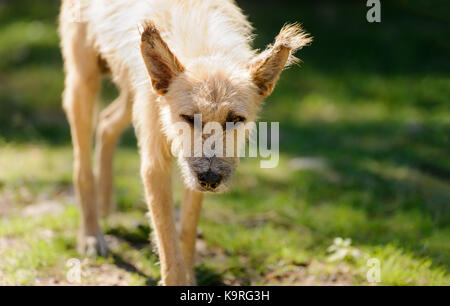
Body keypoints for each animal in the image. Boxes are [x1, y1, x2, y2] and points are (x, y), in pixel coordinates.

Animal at [58, 0, 312, 286]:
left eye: (235, 120)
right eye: (189, 118)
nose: (211, 181)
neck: (204, 47)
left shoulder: (194, 173)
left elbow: (188, 227)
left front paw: (189, 275)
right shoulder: (155, 166)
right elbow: (166, 236)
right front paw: (177, 277)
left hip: (129, 95)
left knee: (106, 123)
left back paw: (104, 204)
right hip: (83, 83)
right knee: (82, 167)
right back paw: (91, 234)